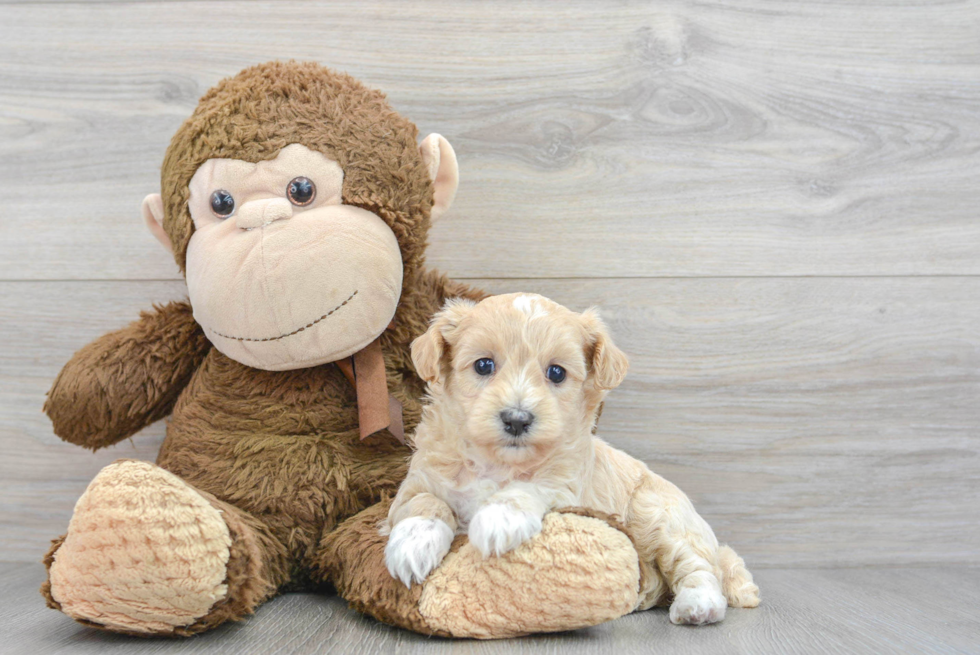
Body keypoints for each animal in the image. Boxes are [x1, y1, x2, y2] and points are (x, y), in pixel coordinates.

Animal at [382, 292, 756, 624]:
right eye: (484, 365)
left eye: (557, 373)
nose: (517, 419)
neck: (499, 463)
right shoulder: (415, 484)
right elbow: (424, 503)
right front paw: (413, 543)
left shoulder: (567, 486)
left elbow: (531, 487)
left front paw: (499, 517)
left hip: (663, 519)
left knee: (700, 568)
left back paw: (698, 605)